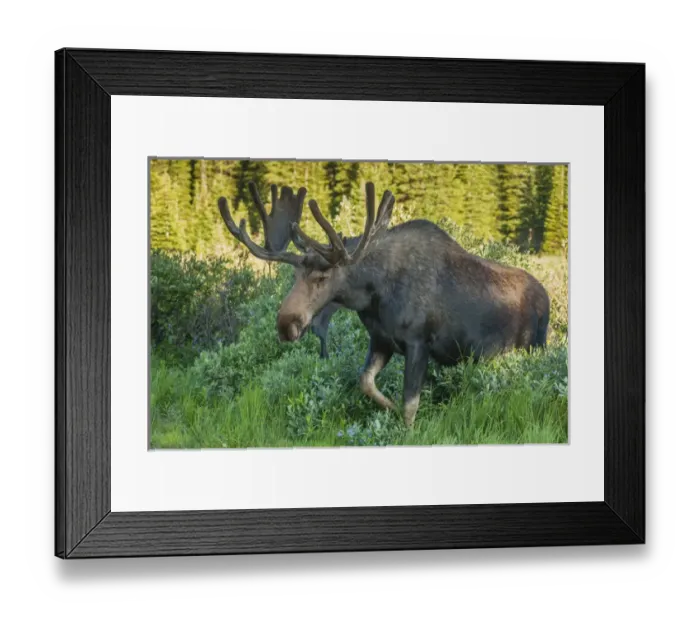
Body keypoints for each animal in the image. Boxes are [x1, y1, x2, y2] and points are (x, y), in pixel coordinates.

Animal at [218, 182, 550, 428]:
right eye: (294, 274)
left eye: (323, 277)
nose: (286, 324)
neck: (373, 296)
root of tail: (548, 300)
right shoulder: (381, 340)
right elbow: (365, 381)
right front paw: (387, 407)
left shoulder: (419, 343)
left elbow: (410, 404)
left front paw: (406, 429)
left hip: (531, 347)